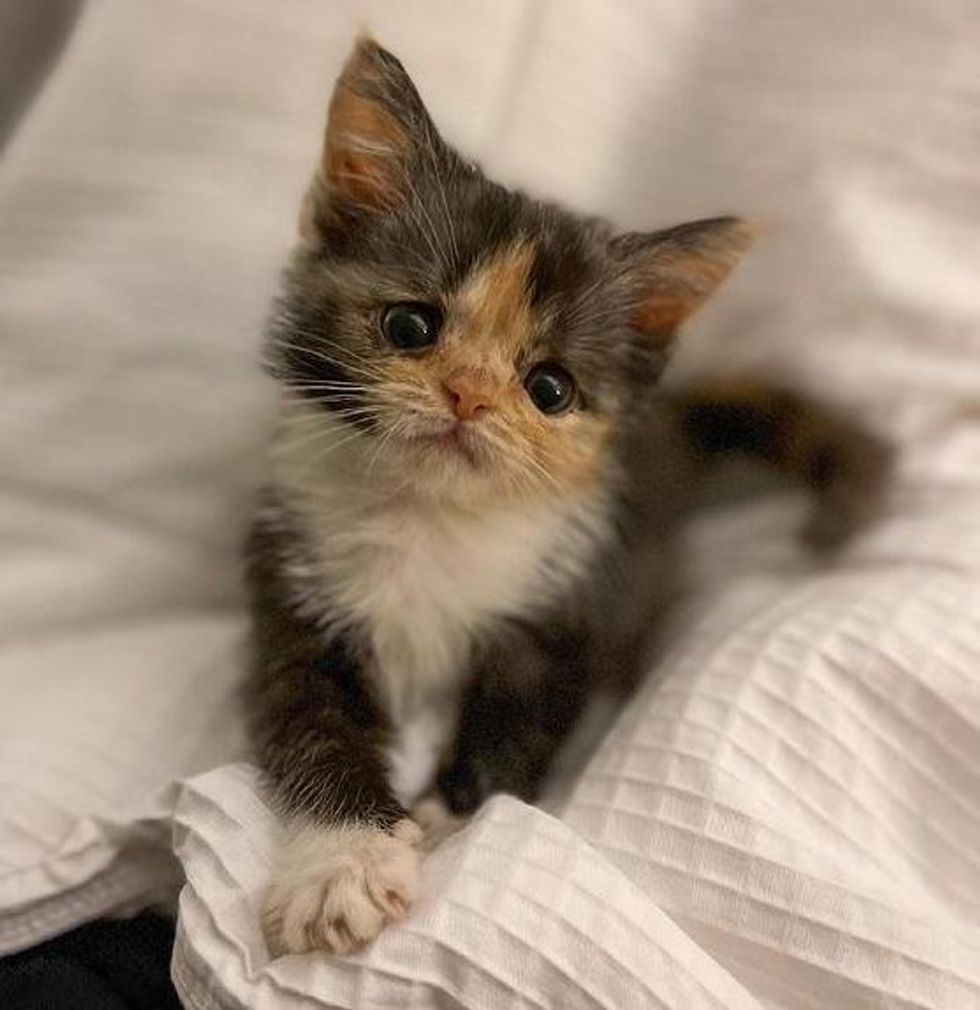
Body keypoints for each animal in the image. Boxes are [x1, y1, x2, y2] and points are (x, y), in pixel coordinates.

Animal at [242, 37, 885, 953]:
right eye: (409, 326)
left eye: (549, 388)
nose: (468, 395)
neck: (428, 517)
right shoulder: (292, 581)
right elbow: (309, 723)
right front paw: (341, 867)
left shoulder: (574, 600)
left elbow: (526, 716)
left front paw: (449, 818)